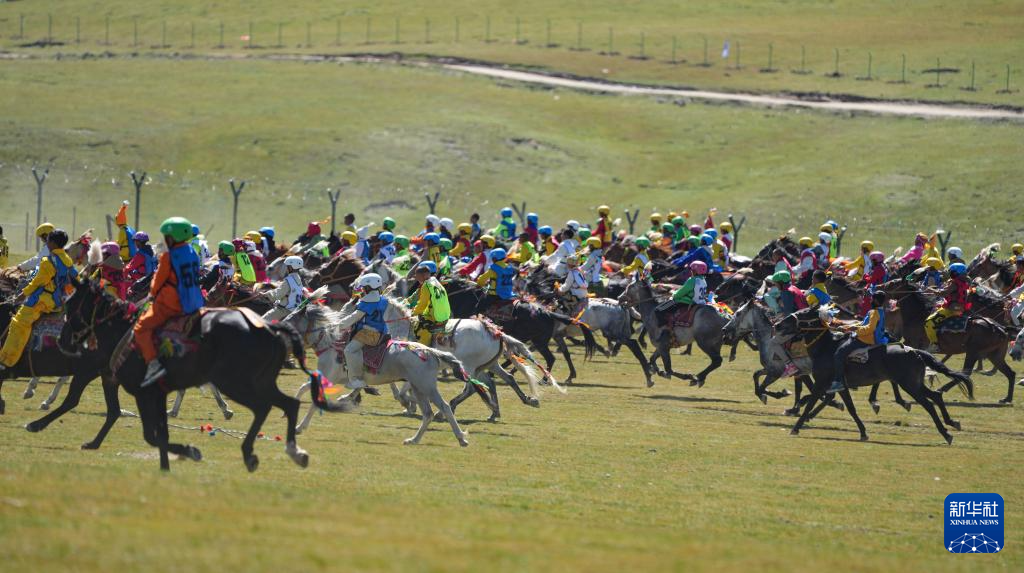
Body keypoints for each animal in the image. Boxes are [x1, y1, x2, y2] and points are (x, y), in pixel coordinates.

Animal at [58, 279, 328, 471]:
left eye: (72, 303)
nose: (63, 341)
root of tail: (272, 332)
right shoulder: (161, 389)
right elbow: (162, 429)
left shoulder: (148, 391)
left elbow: (154, 432)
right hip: (255, 382)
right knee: (287, 404)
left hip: (239, 383)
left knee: (266, 406)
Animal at [774, 307, 971, 445]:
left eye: (803, 312)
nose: (777, 324)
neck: (826, 348)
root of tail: (914, 351)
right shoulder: (840, 385)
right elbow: (851, 408)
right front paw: (863, 432)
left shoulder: (821, 383)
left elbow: (810, 404)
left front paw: (796, 427)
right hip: (915, 383)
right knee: (936, 396)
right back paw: (952, 423)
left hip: (909, 385)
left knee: (929, 405)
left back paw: (946, 433)